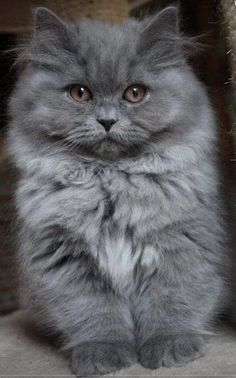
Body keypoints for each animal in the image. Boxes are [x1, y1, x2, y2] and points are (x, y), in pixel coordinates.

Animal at [7, 5, 232, 376]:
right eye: (80, 93)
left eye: (135, 93)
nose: (107, 121)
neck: (110, 182)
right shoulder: (65, 259)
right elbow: (94, 314)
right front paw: (105, 356)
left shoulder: (181, 245)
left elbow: (172, 303)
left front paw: (170, 349)